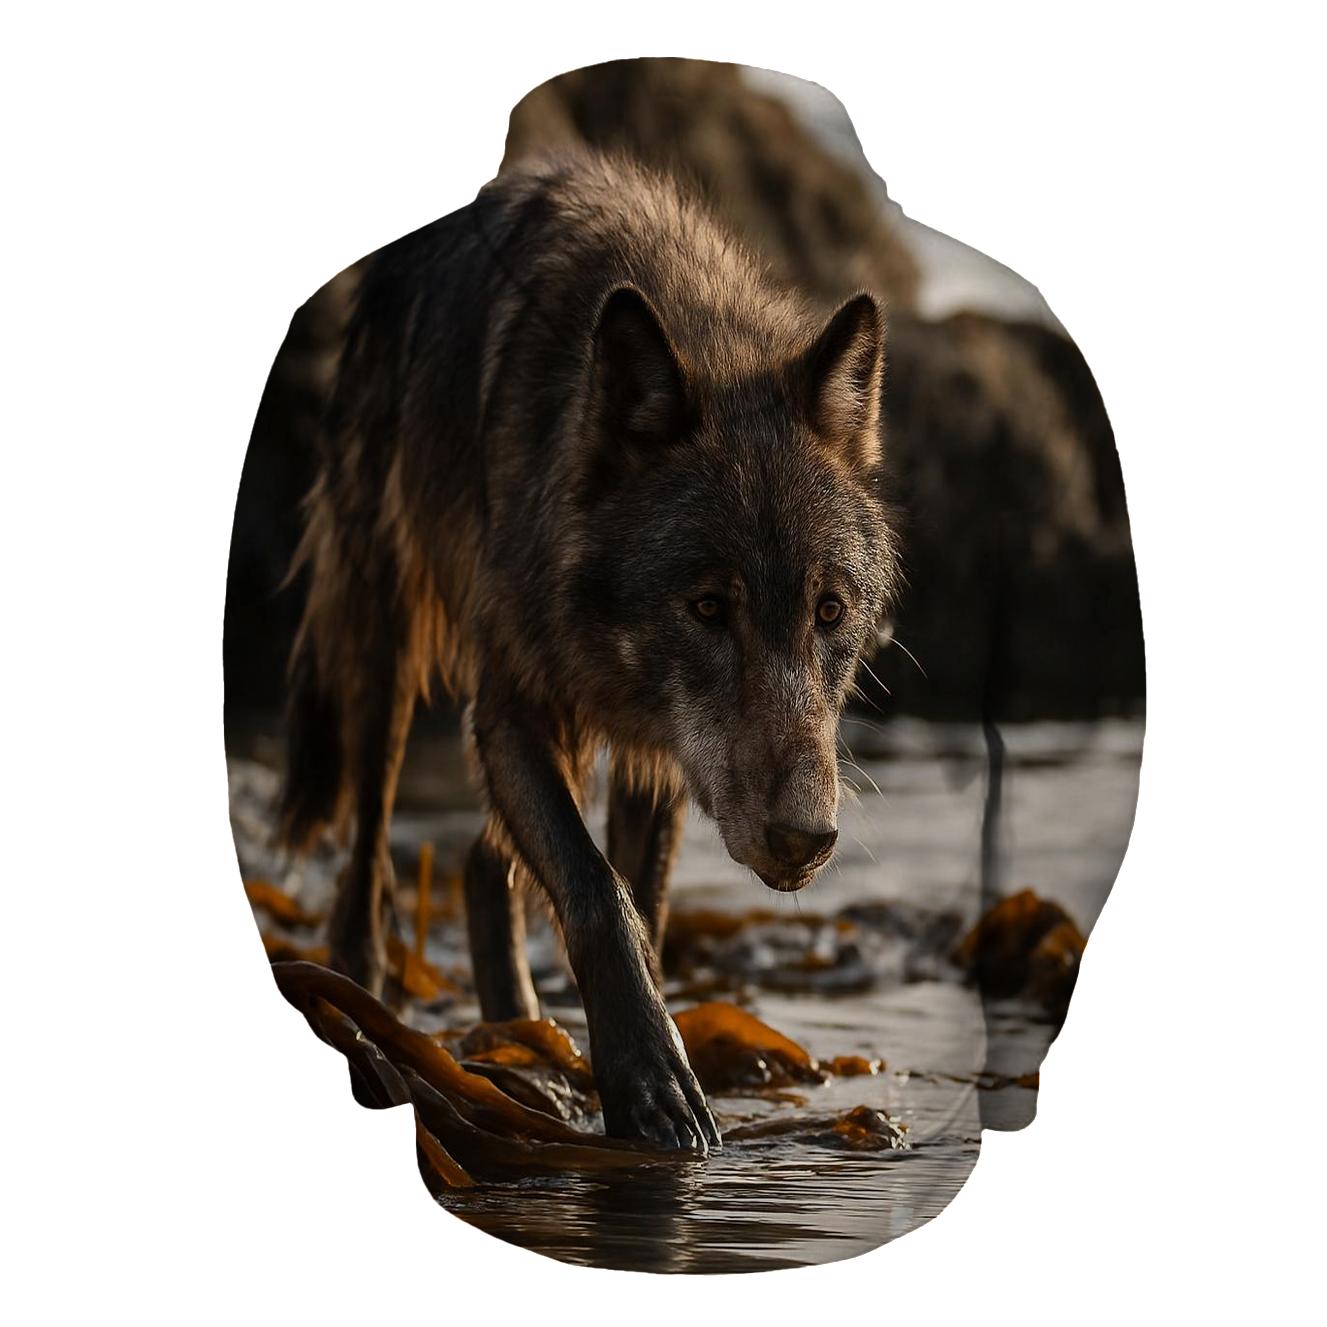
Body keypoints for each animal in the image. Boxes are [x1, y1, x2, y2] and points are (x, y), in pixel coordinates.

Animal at [278, 152, 900, 1153]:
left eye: (829, 611)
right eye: (707, 606)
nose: (806, 840)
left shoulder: (660, 761)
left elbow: (638, 904)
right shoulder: (510, 709)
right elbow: (602, 895)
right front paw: (652, 1083)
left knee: (478, 863)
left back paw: (519, 1045)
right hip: (382, 657)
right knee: (366, 869)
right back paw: (364, 1010)